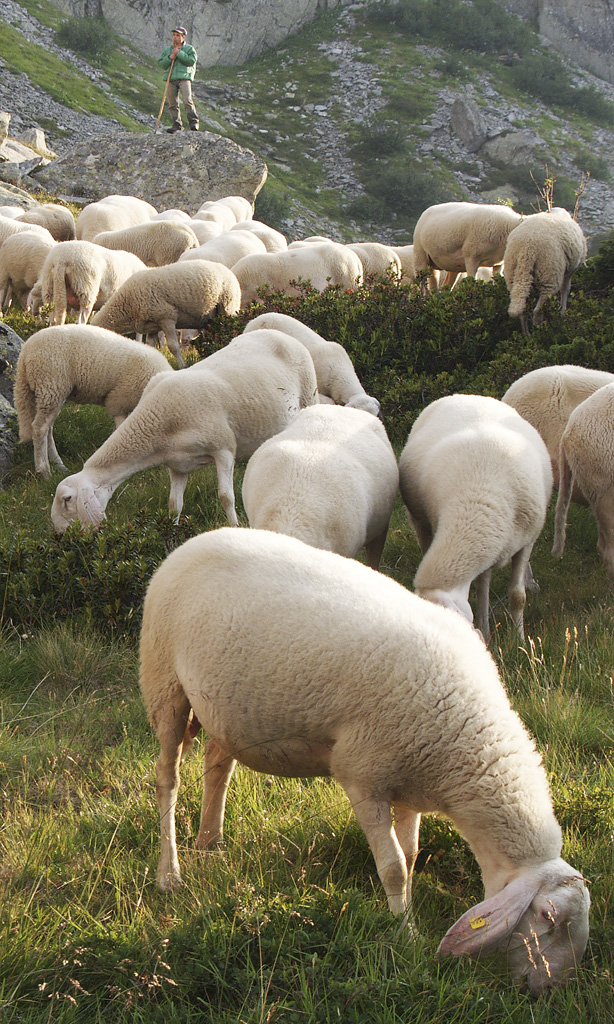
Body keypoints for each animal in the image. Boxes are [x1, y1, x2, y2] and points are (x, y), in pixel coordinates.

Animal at [14, 324, 171, 478]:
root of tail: (25, 352)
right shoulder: (118, 401)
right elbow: (120, 429)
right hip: (50, 384)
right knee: (39, 428)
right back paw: (44, 471)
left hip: (51, 392)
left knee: (48, 429)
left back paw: (59, 465)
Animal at [50, 329, 318, 532]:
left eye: (67, 500)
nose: (61, 535)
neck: (157, 424)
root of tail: (281, 333)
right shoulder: (177, 465)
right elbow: (173, 505)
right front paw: (172, 534)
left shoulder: (224, 448)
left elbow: (226, 497)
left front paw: (234, 527)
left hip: (310, 397)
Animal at [90, 259, 241, 368]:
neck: (127, 303)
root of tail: (228, 270)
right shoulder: (152, 326)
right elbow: (150, 346)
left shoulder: (167, 318)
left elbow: (173, 346)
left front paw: (182, 366)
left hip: (228, 307)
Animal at [139, 525, 590, 995]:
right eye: (547, 917)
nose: (548, 991)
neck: (464, 743)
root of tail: (196, 540)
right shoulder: (362, 777)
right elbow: (393, 867)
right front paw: (406, 933)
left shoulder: (410, 781)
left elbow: (410, 854)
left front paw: (401, 911)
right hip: (163, 681)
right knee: (167, 779)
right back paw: (170, 873)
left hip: (227, 709)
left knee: (217, 763)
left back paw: (210, 843)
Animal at [399, 394, 553, 640]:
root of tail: (464, 395)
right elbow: (483, 590)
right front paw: (486, 631)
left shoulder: (526, 542)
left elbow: (517, 596)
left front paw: (519, 639)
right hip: (420, 521)